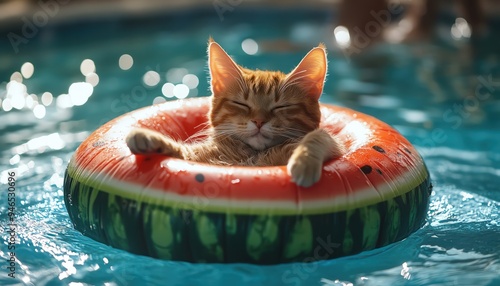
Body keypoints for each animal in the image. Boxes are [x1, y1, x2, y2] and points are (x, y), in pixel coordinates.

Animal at [126, 39, 344, 187]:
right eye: (241, 104)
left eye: (281, 106)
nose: (258, 121)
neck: (251, 156)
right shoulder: (194, 159)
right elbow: (181, 151)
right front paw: (147, 137)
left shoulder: (335, 146)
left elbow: (319, 136)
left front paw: (303, 159)